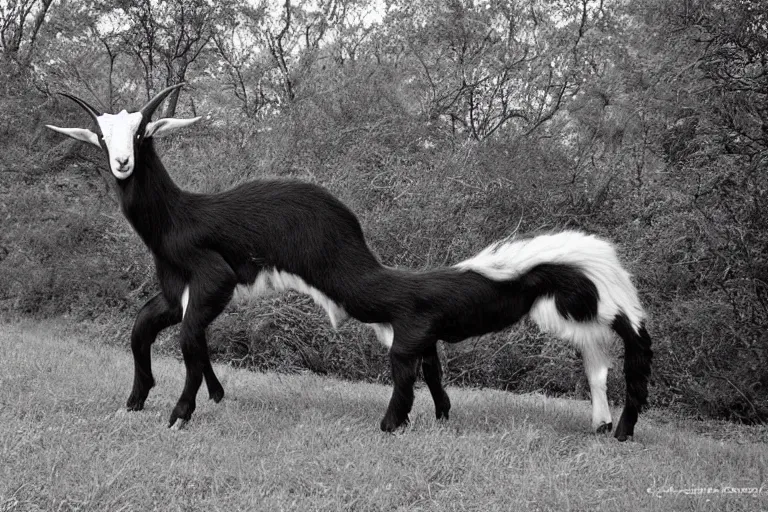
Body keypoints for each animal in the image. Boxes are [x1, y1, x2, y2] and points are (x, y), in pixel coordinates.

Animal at [46, 83, 648, 440]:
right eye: (100, 136)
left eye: (142, 133)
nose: (122, 164)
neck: (179, 216)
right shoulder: (176, 292)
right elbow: (143, 331)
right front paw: (138, 401)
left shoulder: (213, 281)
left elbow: (192, 343)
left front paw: (181, 413)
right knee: (430, 360)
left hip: (364, 289)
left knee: (411, 353)